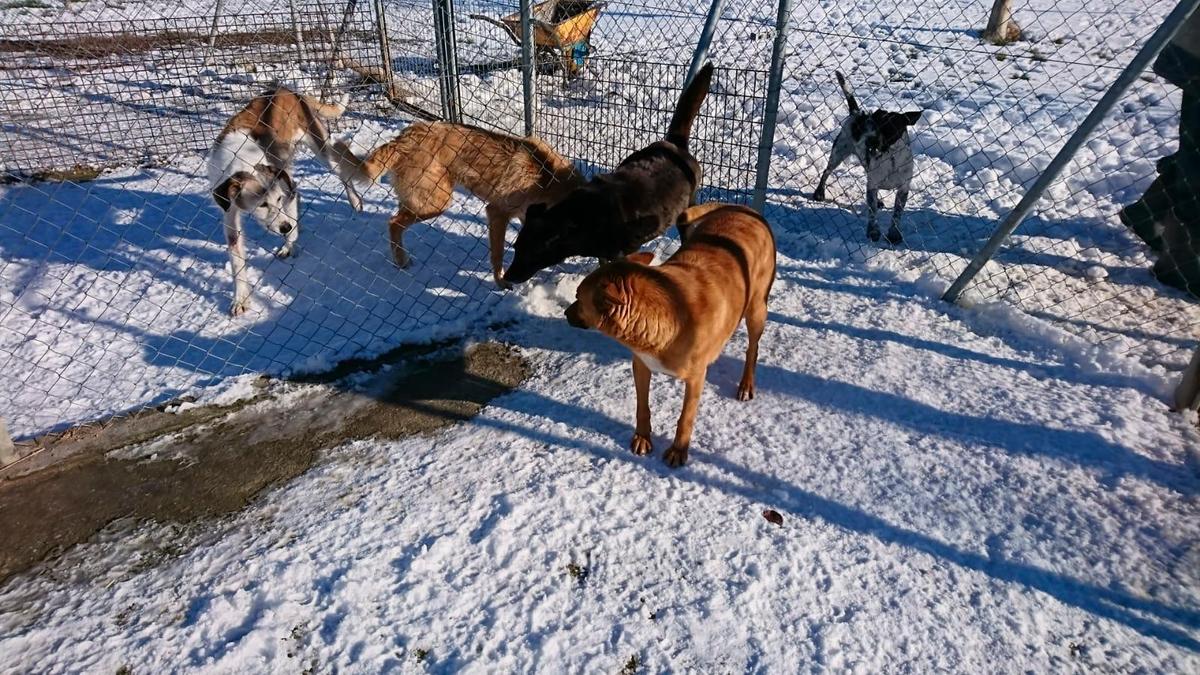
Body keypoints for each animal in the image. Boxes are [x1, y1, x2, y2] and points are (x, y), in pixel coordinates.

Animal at [208, 85, 362, 314]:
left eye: (278, 199)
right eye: (262, 204)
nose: (285, 227)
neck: (243, 160)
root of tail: (285, 89)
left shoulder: (284, 191)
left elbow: (291, 218)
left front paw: (290, 242)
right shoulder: (229, 214)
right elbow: (237, 262)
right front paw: (240, 298)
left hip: (320, 149)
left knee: (339, 173)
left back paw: (355, 200)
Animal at [340, 120, 583, 283]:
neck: (549, 180)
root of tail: (408, 136)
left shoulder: (526, 219)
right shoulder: (497, 212)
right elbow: (498, 254)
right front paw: (501, 282)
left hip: (418, 199)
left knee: (397, 221)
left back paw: (401, 257)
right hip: (436, 202)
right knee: (393, 223)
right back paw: (401, 260)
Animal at [504, 63, 715, 281]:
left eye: (531, 254)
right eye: (517, 248)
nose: (506, 277)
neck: (580, 217)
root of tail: (674, 144)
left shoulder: (619, 252)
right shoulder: (603, 252)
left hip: (687, 209)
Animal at [564, 201, 777, 466]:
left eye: (577, 297)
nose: (565, 313)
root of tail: (746, 209)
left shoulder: (695, 379)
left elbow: (685, 418)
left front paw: (678, 450)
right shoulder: (641, 364)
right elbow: (642, 407)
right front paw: (642, 438)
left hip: (757, 308)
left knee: (752, 349)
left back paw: (746, 383)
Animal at [811, 70, 921, 242]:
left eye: (891, 128)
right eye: (876, 126)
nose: (870, 141)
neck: (891, 158)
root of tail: (856, 113)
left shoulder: (903, 188)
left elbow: (897, 214)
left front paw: (894, 233)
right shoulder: (872, 185)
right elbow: (872, 211)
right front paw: (873, 232)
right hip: (838, 152)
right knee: (826, 172)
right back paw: (819, 192)